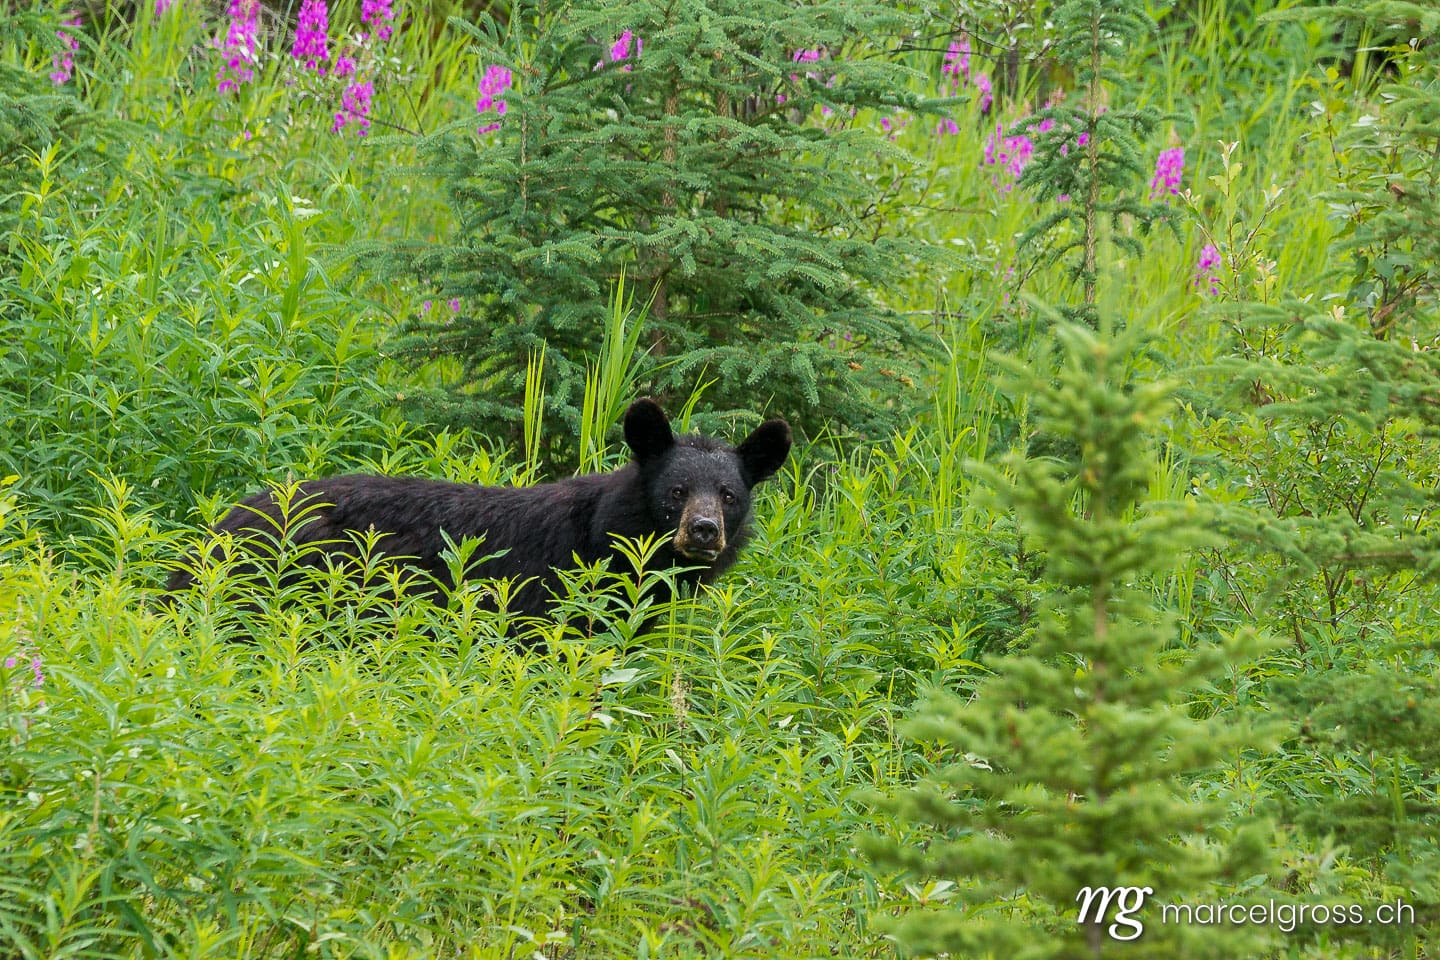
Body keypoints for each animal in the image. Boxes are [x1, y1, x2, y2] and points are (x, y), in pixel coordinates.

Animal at [165, 399, 792, 635]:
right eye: (677, 490)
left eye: (729, 495)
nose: (703, 531)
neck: (606, 541)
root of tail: (218, 530)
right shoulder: (548, 598)